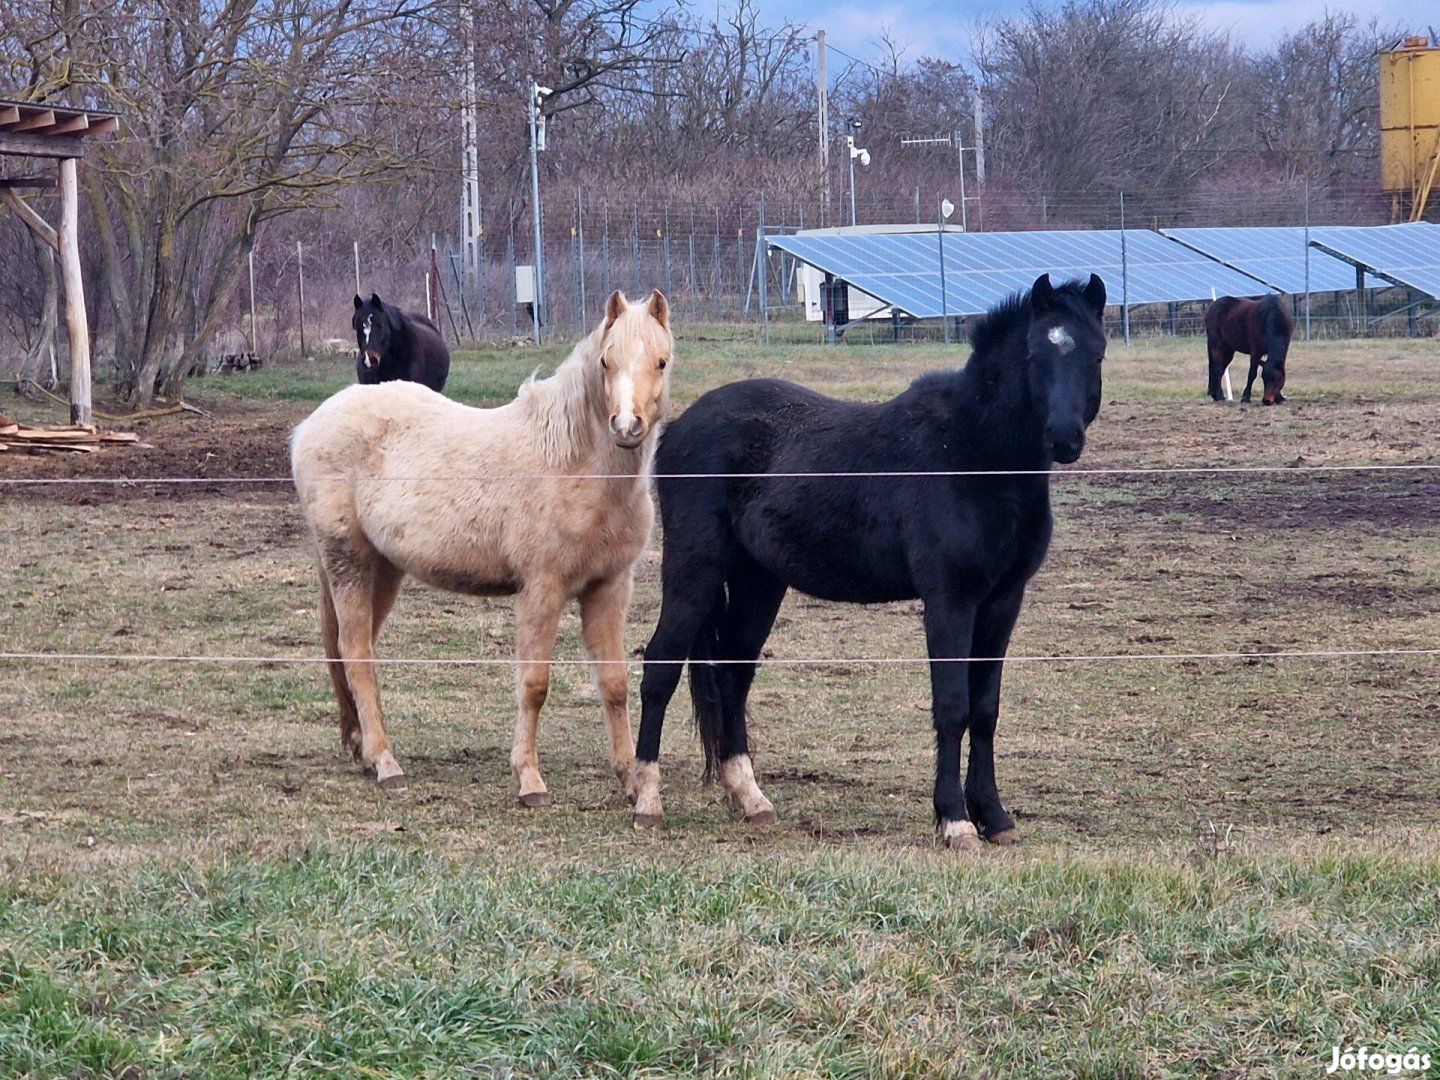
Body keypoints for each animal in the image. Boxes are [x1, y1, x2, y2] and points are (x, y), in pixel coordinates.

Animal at [295, 292, 676, 800]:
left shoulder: (609, 587)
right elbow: (534, 684)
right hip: (348, 561)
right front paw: (529, 778)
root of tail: (310, 425)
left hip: (383, 568)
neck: (573, 463)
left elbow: (613, 683)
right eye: (606, 361)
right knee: (356, 653)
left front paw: (630, 779)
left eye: (661, 361)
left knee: (352, 649)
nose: (627, 425)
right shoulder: (542, 591)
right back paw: (385, 761)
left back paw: (361, 746)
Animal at [624, 272, 1105, 852]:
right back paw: (647, 801)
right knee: (660, 667)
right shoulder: (950, 600)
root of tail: (678, 428)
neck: (975, 456)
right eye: (1036, 353)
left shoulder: (1002, 601)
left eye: (1096, 354)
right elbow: (952, 707)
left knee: (733, 676)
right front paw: (955, 821)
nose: (1064, 438)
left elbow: (985, 709)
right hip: (694, 572)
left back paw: (751, 799)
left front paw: (995, 816)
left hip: (758, 583)